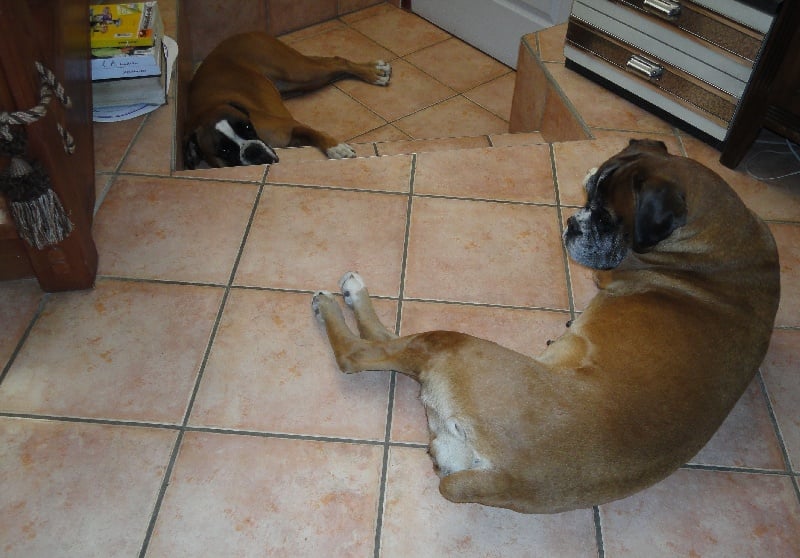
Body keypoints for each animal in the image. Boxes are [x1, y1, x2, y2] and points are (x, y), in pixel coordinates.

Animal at [184, 32, 391, 169]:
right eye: (224, 151)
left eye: (248, 127)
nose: (252, 150)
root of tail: (243, 33)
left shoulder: (290, 126)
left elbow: (316, 133)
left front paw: (336, 148)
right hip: (301, 80)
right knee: (332, 63)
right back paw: (376, 69)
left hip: (299, 72)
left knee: (338, 61)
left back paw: (373, 74)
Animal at [311, 139, 780, 513]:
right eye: (587, 197)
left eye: (607, 219)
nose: (571, 223)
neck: (717, 243)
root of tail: (506, 475)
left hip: (452, 344)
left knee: (362, 352)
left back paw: (340, 298)